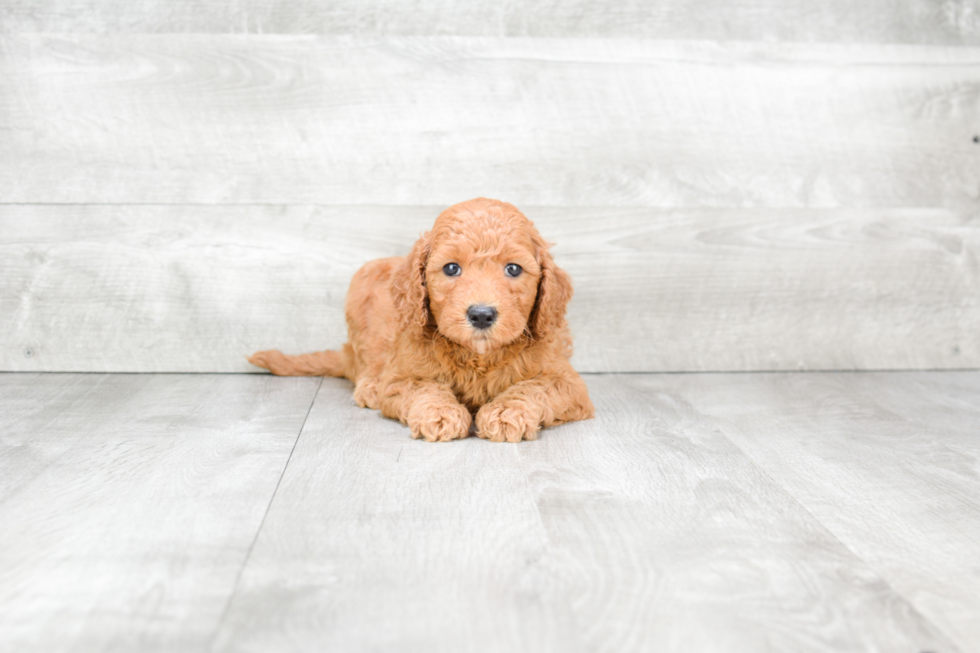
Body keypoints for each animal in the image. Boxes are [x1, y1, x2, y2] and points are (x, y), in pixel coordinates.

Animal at [249, 196, 592, 440]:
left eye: (513, 269)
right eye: (451, 268)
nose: (481, 315)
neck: (478, 357)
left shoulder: (567, 382)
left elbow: (533, 388)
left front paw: (505, 413)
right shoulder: (402, 377)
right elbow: (424, 389)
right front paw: (440, 414)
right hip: (362, 284)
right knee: (365, 362)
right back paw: (370, 386)